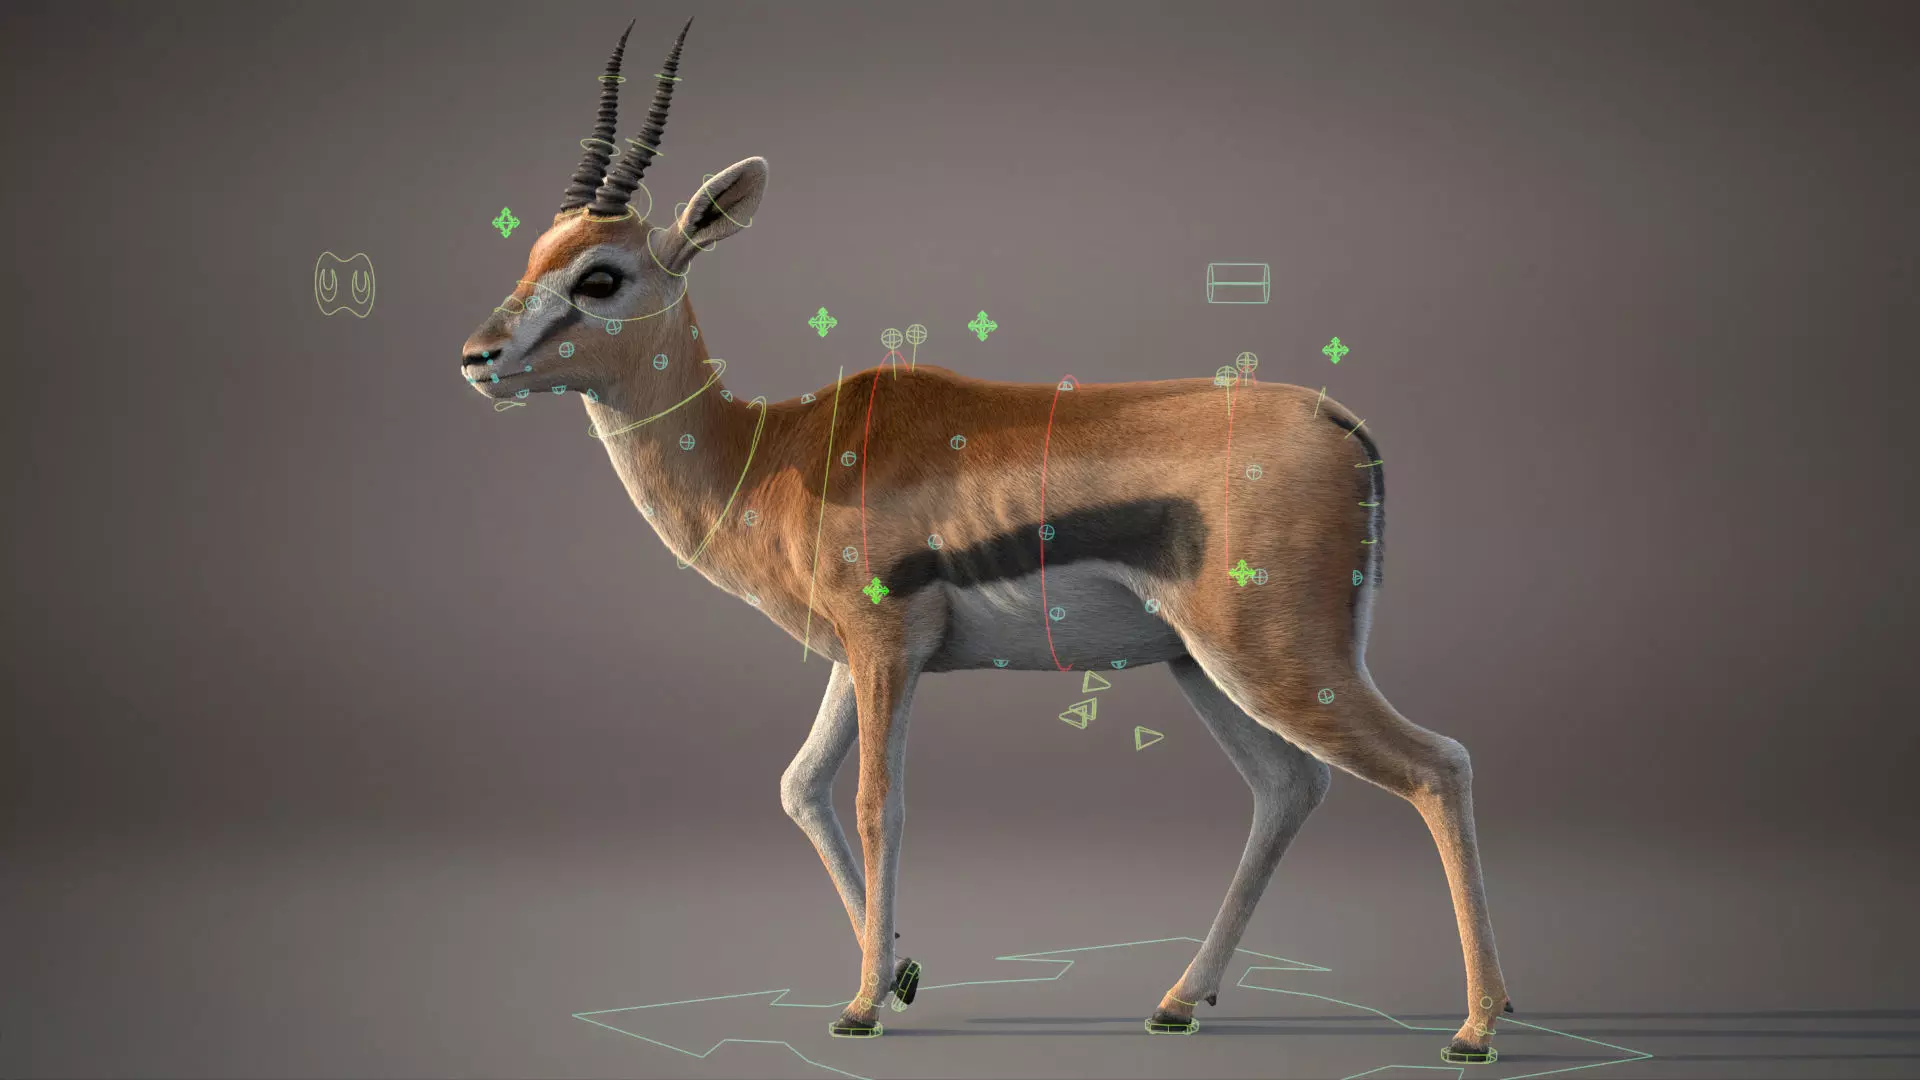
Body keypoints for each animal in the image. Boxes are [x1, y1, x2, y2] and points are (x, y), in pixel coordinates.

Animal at [460, 19, 1515, 1065]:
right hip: (1198, 666)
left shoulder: (887, 645)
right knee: (1291, 787)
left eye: (601, 275)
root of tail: (1338, 419)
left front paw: (863, 1005)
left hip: (1278, 660)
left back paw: (1474, 1027)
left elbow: (875, 802)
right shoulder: (851, 653)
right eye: (535, 254)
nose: (477, 357)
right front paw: (901, 974)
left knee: (1438, 765)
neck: (773, 453)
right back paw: (1178, 1001)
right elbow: (801, 786)